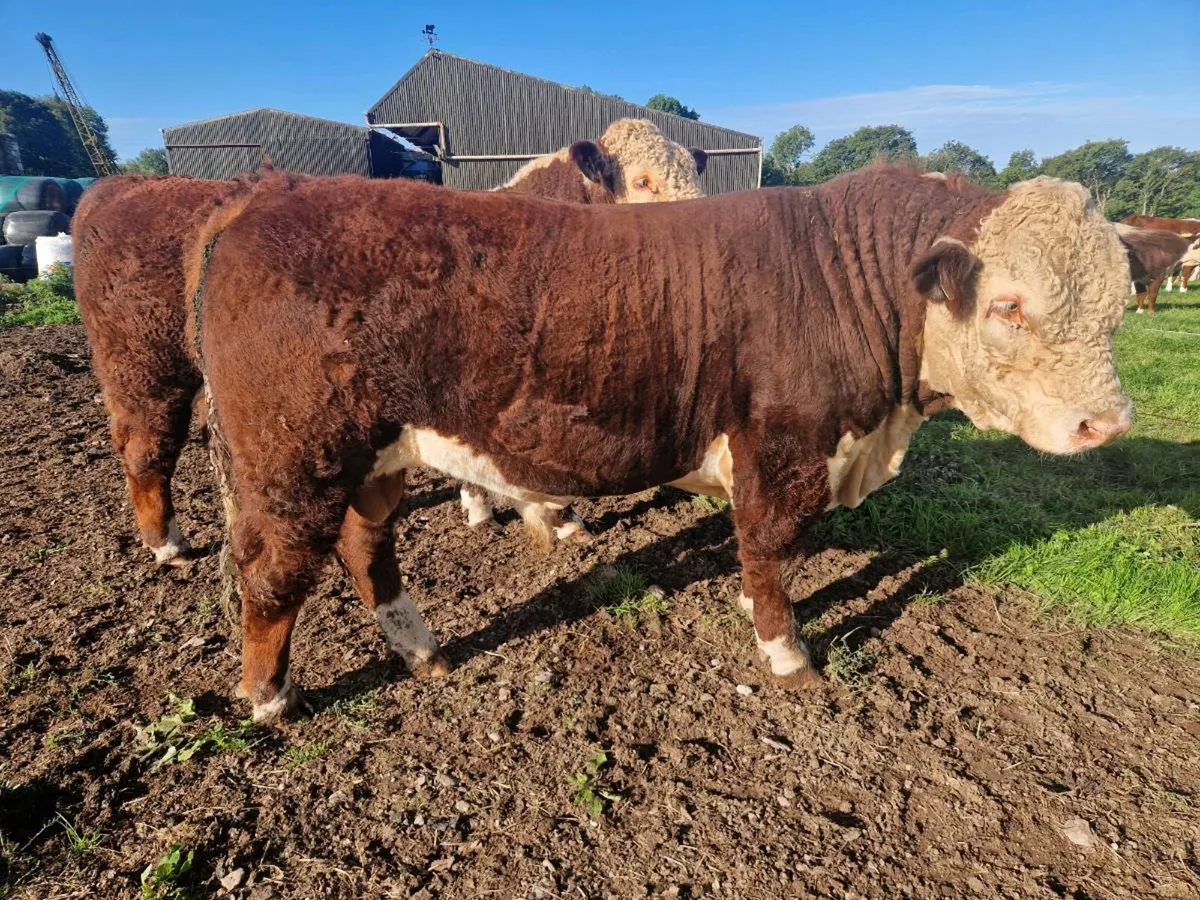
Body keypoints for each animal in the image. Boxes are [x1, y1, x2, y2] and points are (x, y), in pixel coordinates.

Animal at [72, 119, 707, 567]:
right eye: (642, 180)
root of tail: (116, 187)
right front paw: (557, 516)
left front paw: (481, 506)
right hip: (144, 366)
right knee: (145, 446)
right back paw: (167, 543)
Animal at [184, 165, 1183, 723]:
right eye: (1009, 305)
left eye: (1113, 304)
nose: (1107, 423)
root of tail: (255, 202)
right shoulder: (783, 451)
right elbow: (774, 549)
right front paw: (787, 655)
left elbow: (762, 553)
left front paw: (750, 608)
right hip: (293, 461)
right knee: (273, 573)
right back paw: (271, 699)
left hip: (375, 456)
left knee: (365, 546)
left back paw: (420, 649)